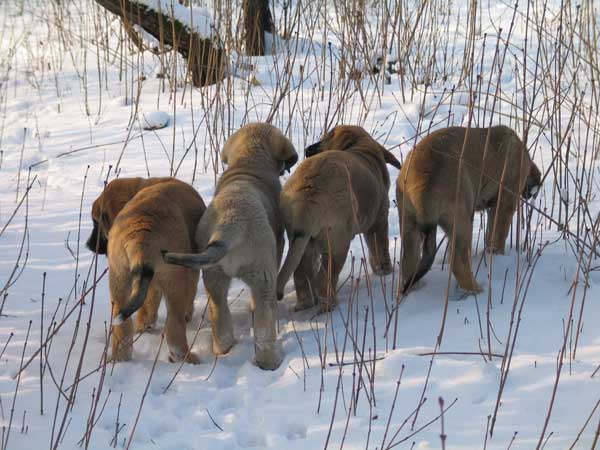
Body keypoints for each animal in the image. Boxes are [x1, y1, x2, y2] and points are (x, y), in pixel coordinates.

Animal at [85, 178, 205, 364]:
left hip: (119, 281)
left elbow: (147, 307)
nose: (89, 245)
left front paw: (144, 326)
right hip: (175, 281)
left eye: (96, 222)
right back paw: (186, 357)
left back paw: (119, 359)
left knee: (123, 328)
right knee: (175, 327)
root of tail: (141, 232)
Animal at [164, 123, 298, 370]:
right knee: (263, 321)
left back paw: (223, 349)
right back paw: (271, 361)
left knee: (220, 315)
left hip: (213, 275)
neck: (249, 159)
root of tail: (229, 225)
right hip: (263, 275)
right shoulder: (278, 245)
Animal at [278, 125, 404, 312]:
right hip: (338, 241)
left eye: (324, 139)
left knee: (302, 272)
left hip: (303, 241)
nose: (307, 149)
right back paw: (328, 304)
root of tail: (309, 190)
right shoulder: (378, 220)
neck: (361, 146)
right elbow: (379, 247)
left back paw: (306, 302)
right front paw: (385, 271)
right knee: (325, 277)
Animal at [398, 125, 544, 294]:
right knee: (456, 260)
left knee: (408, 262)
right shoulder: (504, 205)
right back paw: (475, 289)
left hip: (409, 226)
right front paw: (497, 255)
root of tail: (423, 181)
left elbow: (490, 235)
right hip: (462, 222)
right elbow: (498, 236)